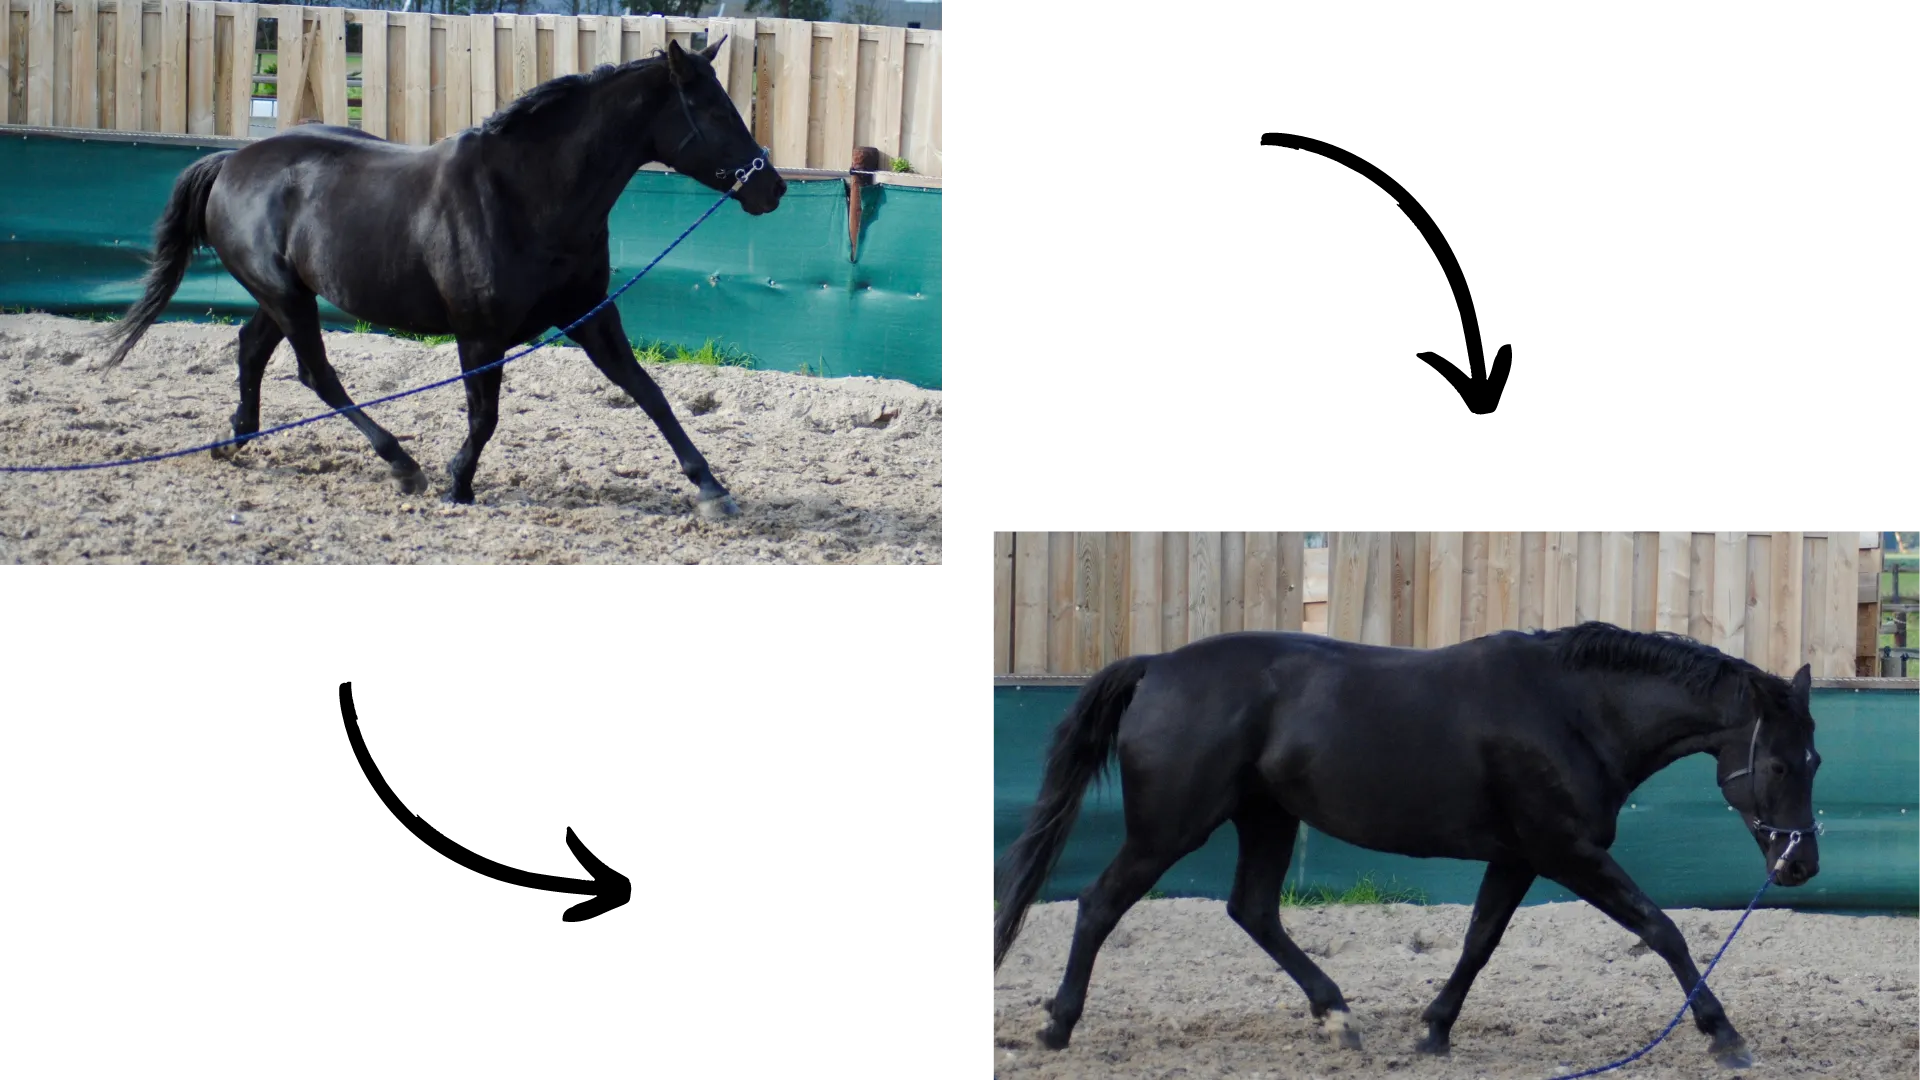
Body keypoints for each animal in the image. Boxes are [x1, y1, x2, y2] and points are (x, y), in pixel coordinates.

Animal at [97, 37, 785, 517]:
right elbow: (484, 416)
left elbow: (648, 392)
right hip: (289, 298)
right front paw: (458, 482)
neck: (525, 195)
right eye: (713, 110)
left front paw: (712, 488)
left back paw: (234, 439)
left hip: (285, 294)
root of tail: (232, 161)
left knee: (251, 351)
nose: (773, 188)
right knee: (318, 375)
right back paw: (401, 464)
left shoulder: (589, 316)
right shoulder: (479, 334)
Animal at [990, 621, 1823, 1069]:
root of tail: (1156, 668)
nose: (1800, 864)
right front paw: (1725, 1036)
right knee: (1099, 904)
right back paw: (1056, 1025)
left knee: (1253, 910)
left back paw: (1338, 1016)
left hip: (1266, 818)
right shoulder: (1565, 851)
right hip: (1170, 826)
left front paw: (1434, 1030)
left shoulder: (1519, 856)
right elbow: (1662, 928)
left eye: (1815, 759)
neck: (1572, 710)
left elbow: (1479, 941)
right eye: (1782, 764)